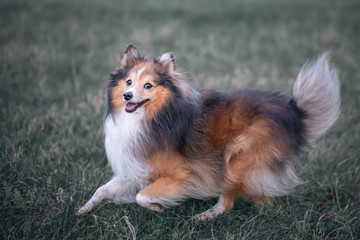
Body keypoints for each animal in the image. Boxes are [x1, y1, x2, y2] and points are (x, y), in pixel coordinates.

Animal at [78, 44, 340, 220]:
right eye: (129, 82)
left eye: (148, 85)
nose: (127, 96)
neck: (152, 116)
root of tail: (293, 111)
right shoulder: (136, 167)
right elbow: (103, 189)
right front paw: (82, 210)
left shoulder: (184, 174)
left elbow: (142, 196)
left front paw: (158, 206)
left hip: (236, 158)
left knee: (228, 201)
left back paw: (206, 216)